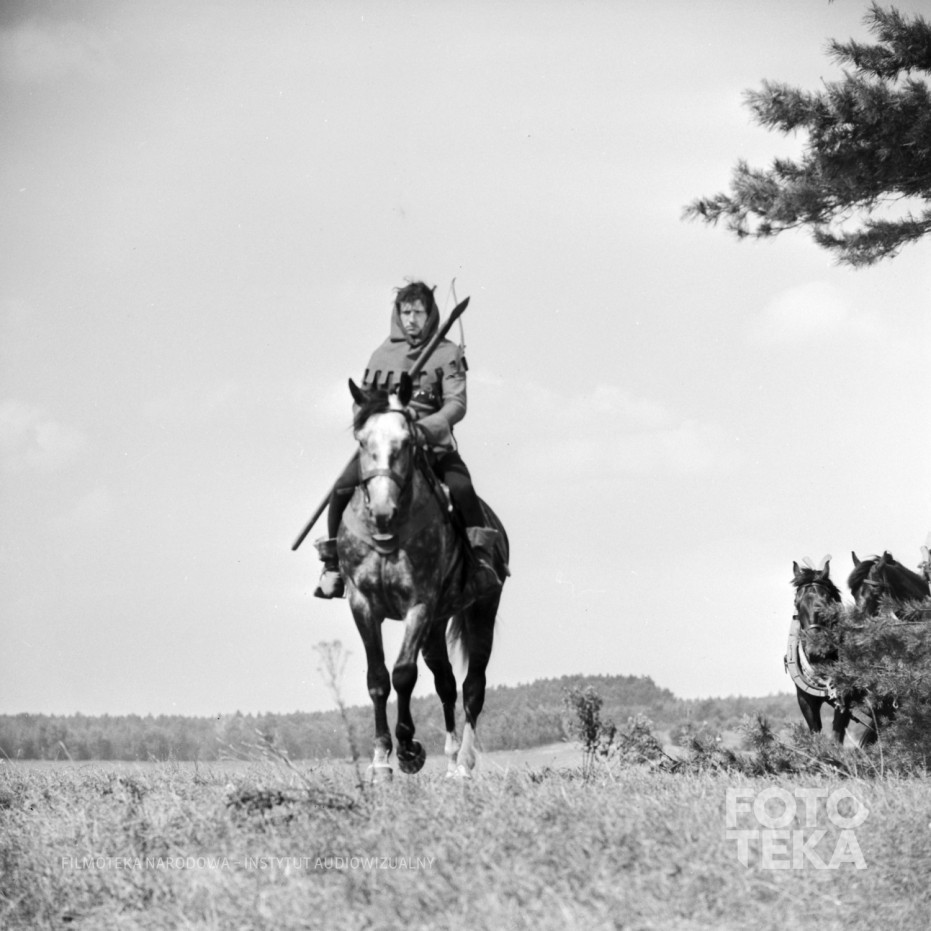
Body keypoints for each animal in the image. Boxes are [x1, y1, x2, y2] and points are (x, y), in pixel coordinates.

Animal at [336, 371, 509, 781]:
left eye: (406, 442)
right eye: (362, 441)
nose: (383, 510)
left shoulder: (418, 605)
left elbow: (402, 674)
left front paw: (408, 750)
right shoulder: (363, 605)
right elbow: (378, 678)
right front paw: (381, 760)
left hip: (481, 611)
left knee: (473, 686)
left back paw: (464, 764)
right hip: (436, 626)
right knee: (445, 682)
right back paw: (450, 758)